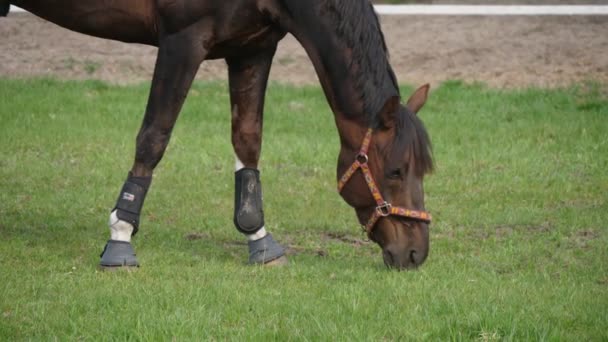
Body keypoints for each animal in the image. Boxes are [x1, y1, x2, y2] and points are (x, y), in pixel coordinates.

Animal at [3, 1, 432, 272]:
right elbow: (154, 136)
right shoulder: (182, 40)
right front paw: (120, 238)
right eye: (395, 171)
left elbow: (248, 140)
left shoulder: (253, 47)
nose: (415, 253)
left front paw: (260, 240)